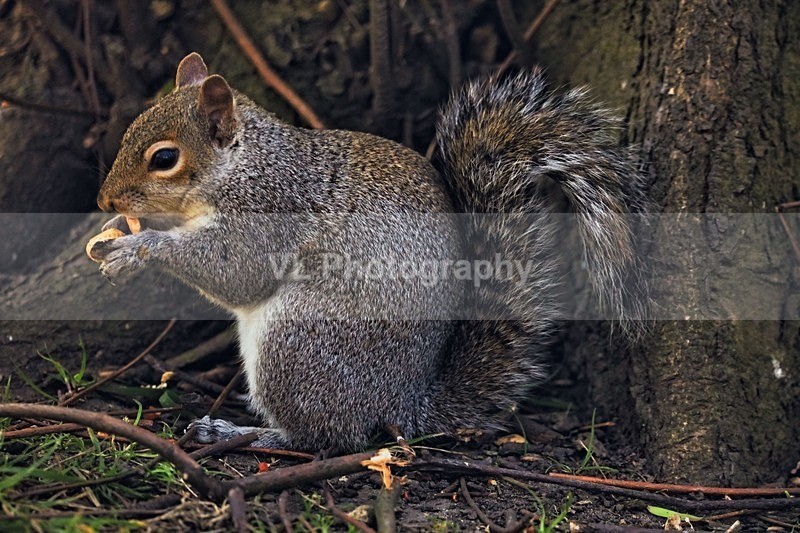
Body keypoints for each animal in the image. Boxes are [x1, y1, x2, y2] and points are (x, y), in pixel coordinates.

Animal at [94, 53, 649, 452]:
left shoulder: (270, 210)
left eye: (165, 158)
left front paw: (140, 247)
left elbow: (237, 272)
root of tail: (404, 404)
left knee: (329, 436)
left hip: (298, 341)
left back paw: (246, 434)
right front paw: (116, 230)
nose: (105, 200)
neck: (244, 164)